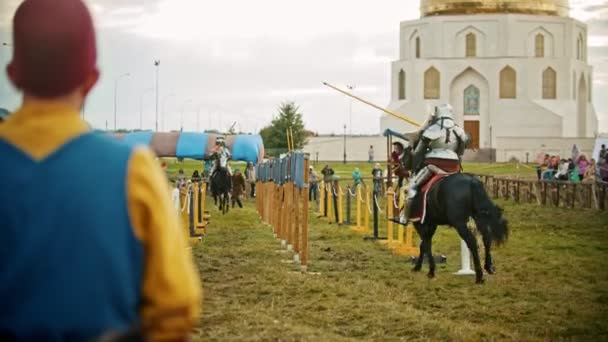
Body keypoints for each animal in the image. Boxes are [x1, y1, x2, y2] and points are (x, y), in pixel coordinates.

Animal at [402, 147, 506, 284]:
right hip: (479, 218)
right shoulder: (432, 224)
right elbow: (424, 245)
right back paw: (488, 267)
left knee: (471, 241)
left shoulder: (421, 224)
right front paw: (419, 267)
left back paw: (479, 275)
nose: (400, 165)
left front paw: (430, 270)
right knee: (486, 238)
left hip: (459, 223)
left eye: (404, 155)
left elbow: (426, 244)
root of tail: (472, 182)